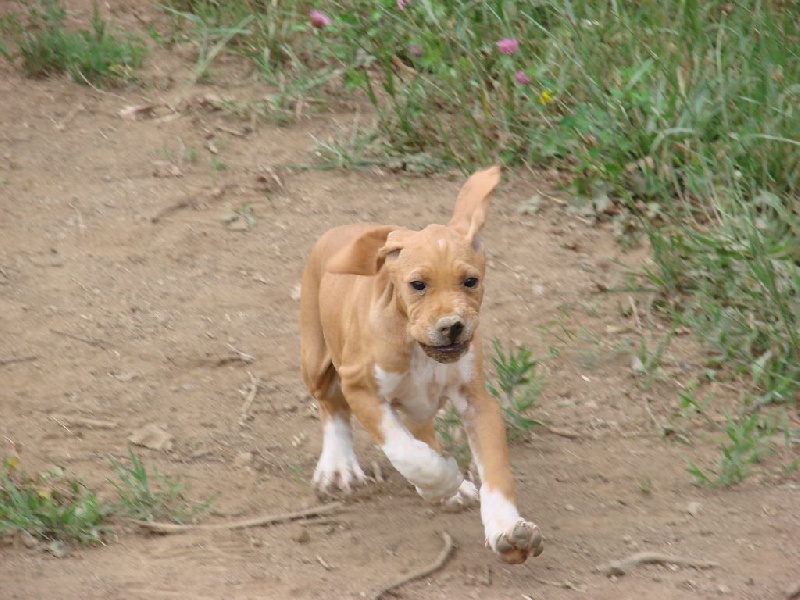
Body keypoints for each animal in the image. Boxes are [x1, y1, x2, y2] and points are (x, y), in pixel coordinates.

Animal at [299, 167, 543, 563]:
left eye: (470, 281)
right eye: (417, 285)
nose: (452, 326)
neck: (418, 349)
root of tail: (342, 229)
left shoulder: (478, 402)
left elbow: (495, 469)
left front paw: (507, 529)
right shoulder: (361, 389)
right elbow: (406, 451)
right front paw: (443, 480)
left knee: (422, 427)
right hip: (317, 357)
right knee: (331, 406)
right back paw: (339, 466)